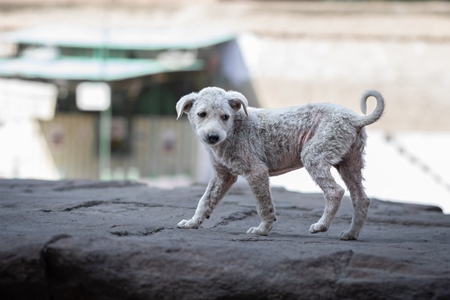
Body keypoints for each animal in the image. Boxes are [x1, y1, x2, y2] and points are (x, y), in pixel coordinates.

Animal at [175, 86, 384, 239]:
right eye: (201, 114)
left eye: (225, 116)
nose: (213, 137)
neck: (235, 128)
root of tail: (355, 119)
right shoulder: (223, 175)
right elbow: (205, 200)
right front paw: (192, 223)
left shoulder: (257, 171)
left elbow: (263, 204)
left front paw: (262, 230)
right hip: (350, 163)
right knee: (361, 199)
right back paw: (351, 234)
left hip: (314, 154)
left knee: (336, 191)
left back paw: (321, 226)